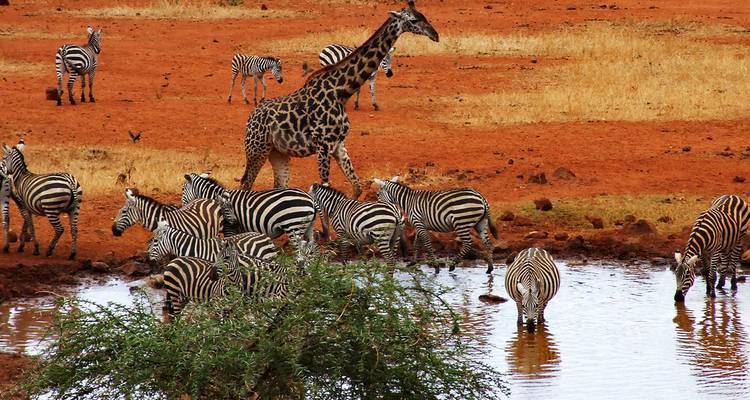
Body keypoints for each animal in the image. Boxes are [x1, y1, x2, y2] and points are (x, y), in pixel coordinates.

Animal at [162, 243, 291, 318]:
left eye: (227, 257)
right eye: (216, 256)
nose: (212, 275)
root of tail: (175, 260)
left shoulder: (235, 308)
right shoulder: (218, 305)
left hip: (183, 297)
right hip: (175, 293)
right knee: (176, 318)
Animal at [181, 172, 318, 246]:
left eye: (183, 190)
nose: (182, 207)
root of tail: (311, 200)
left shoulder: (230, 228)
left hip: (293, 226)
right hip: (307, 227)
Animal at [240, 1, 439, 199]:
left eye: (424, 15)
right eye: (413, 20)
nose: (435, 35)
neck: (341, 92)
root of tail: (251, 118)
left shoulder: (339, 145)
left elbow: (357, 187)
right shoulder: (323, 145)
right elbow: (325, 188)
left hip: (278, 152)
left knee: (279, 186)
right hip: (257, 149)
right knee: (246, 183)